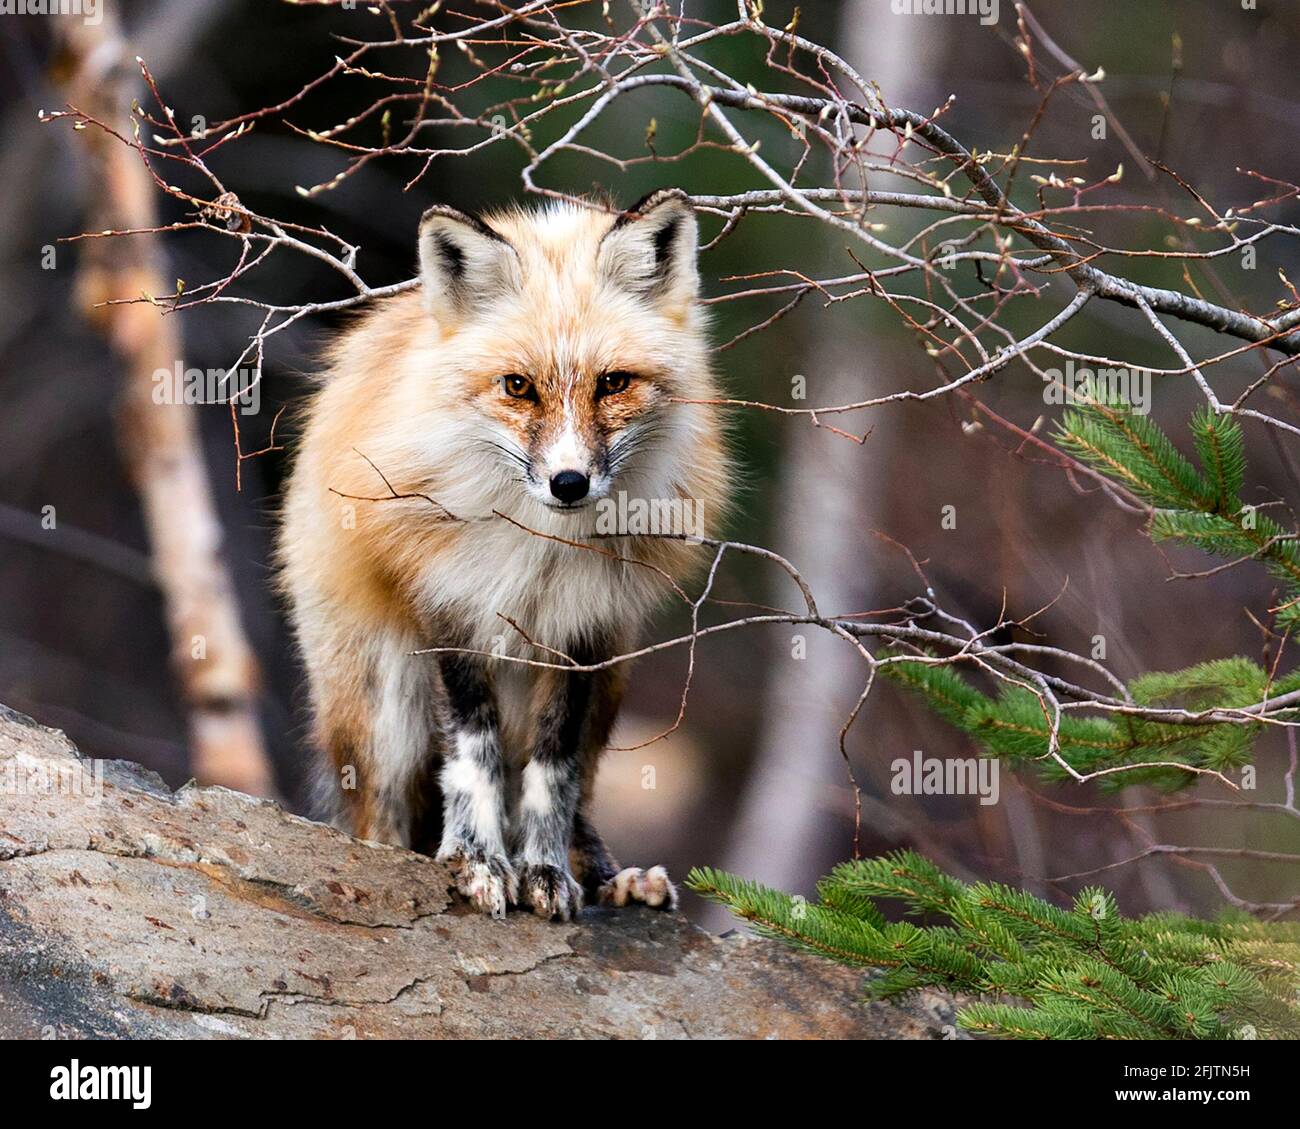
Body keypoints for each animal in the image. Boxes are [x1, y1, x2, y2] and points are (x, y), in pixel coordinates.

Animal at [278, 191, 728, 915]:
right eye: (517, 386)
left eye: (614, 383)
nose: (569, 482)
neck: (538, 554)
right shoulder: (446, 606)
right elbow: (473, 756)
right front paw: (476, 859)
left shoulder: (585, 627)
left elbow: (553, 769)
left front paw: (546, 872)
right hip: (384, 706)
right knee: (382, 815)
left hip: (613, 687)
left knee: (581, 795)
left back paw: (611, 878)